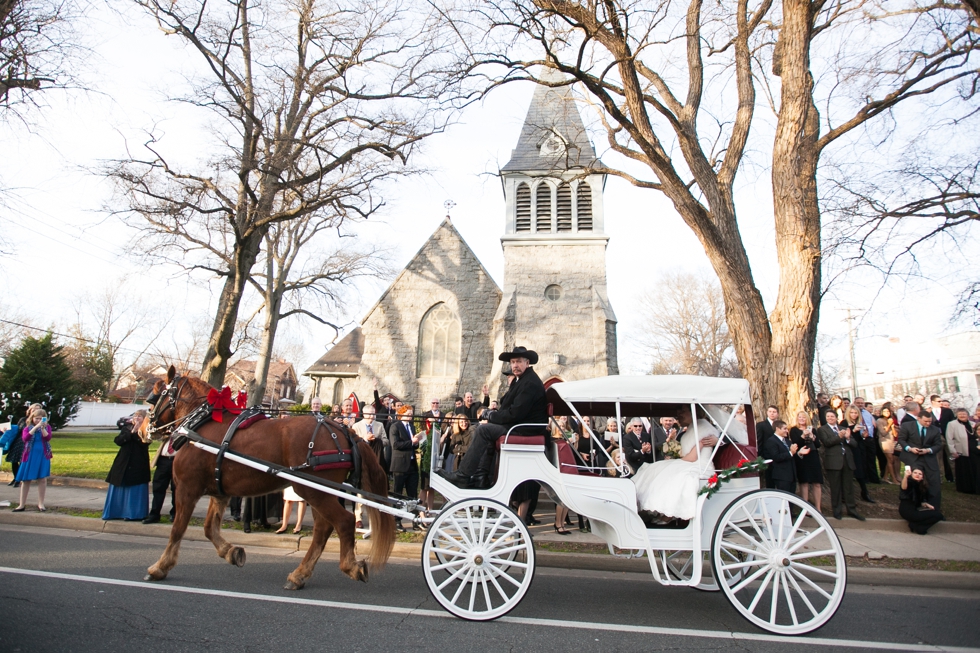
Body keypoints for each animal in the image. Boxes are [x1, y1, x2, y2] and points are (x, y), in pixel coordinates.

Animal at [143, 364, 394, 588]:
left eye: (155, 395)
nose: (145, 429)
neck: (200, 426)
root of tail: (343, 430)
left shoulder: (187, 487)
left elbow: (178, 528)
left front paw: (160, 567)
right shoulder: (219, 491)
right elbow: (209, 528)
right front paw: (232, 552)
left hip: (312, 490)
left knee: (343, 522)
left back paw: (349, 567)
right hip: (319, 491)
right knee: (324, 528)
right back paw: (299, 575)